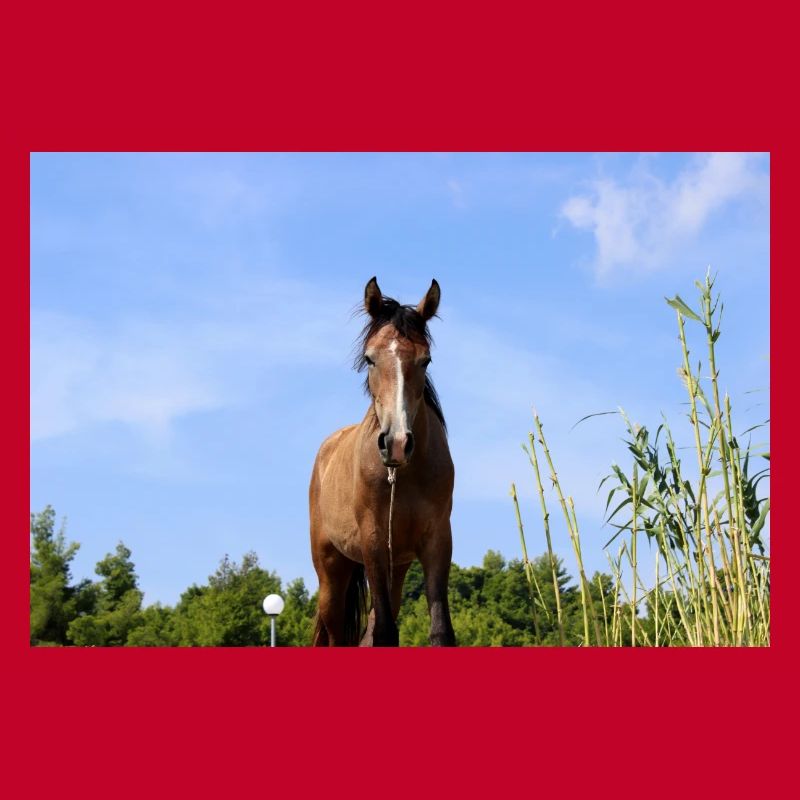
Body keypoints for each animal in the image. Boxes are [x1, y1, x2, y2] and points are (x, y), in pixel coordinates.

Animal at [309, 277, 456, 647]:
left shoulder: (437, 541)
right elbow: (386, 633)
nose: (397, 443)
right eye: (370, 358)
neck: (404, 476)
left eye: (425, 360)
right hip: (331, 570)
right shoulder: (373, 542)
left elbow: (440, 631)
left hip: (396, 568)